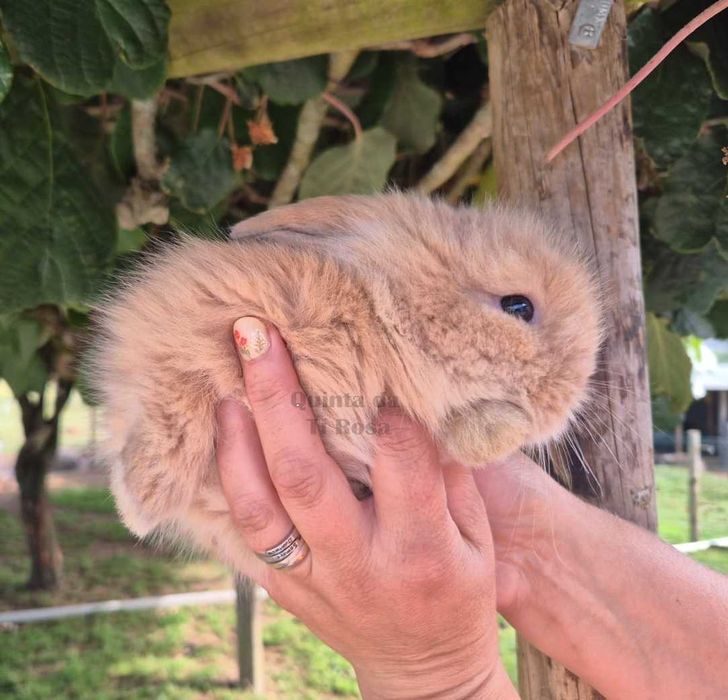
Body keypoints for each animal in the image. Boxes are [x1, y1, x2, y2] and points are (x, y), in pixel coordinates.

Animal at [88, 192, 602, 576]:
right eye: (518, 306)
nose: (563, 405)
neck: (379, 320)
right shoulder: (187, 341)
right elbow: (176, 421)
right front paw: (136, 507)